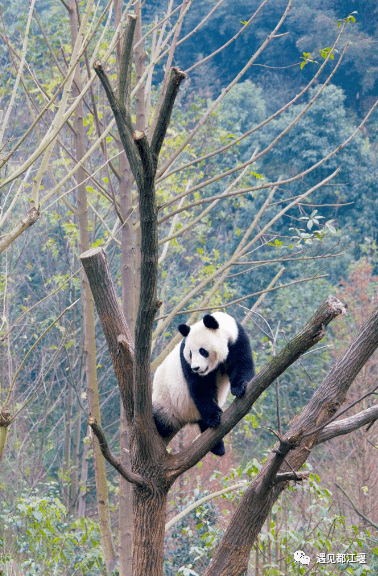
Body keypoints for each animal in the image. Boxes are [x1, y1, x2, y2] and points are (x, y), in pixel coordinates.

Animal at [151, 312, 254, 456]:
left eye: (202, 351)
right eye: (190, 354)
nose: (196, 368)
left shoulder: (238, 339)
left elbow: (242, 364)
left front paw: (239, 388)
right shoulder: (185, 361)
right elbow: (200, 388)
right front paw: (214, 417)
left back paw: (218, 448)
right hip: (165, 402)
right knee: (161, 419)